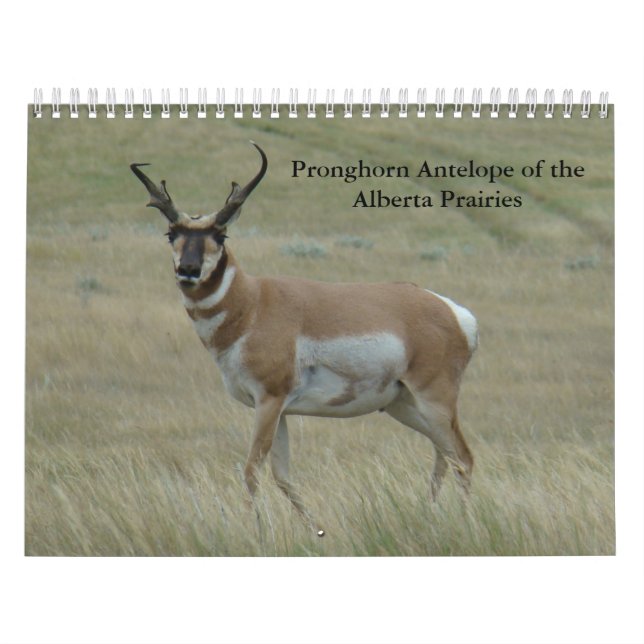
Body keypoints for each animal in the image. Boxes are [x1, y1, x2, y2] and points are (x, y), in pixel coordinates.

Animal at [131, 142, 478, 536]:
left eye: (221, 235)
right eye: (171, 234)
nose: (188, 270)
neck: (253, 302)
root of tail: (453, 311)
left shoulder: (269, 400)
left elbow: (252, 470)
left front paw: (252, 530)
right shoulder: (280, 409)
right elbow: (283, 476)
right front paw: (318, 529)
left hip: (435, 400)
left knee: (463, 457)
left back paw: (464, 522)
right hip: (403, 405)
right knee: (443, 454)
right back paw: (430, 514)